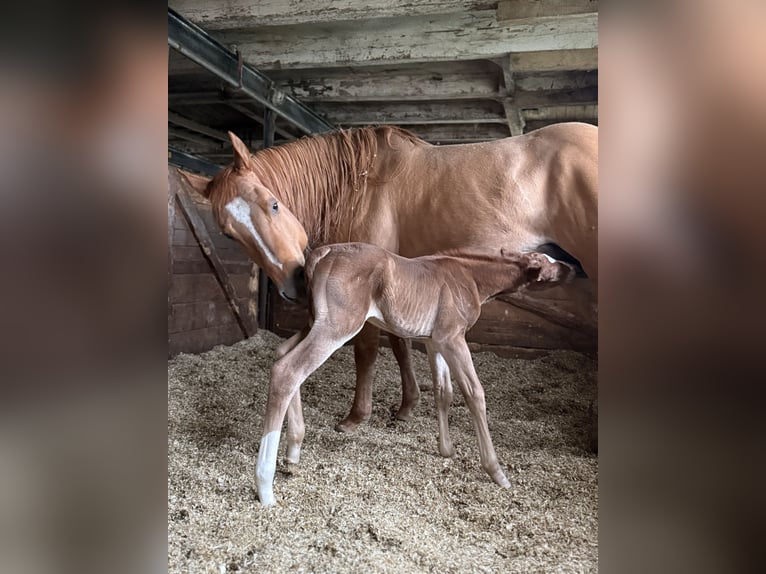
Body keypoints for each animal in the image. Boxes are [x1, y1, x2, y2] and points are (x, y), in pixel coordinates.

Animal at [180, 124, 598, 432]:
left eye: (273, 205)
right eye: (229, 234)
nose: (294, 283)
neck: (357, 185)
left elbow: (366, 350)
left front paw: (355, 417)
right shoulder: (400, 281)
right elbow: (400, 344)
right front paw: (407, 406)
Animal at [254, 243, 577, 506]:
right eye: (548, 263)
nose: (572, 268)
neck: (470, 277)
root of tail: (324, 253)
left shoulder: (434, 341)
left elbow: (444, 392)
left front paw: (446, 449)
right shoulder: (453, 338)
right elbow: (474, 393)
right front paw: (496, 471)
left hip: (315, 322)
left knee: (283, 354)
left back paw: (293, 450)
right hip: (337, 327)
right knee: (288, 371)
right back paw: (265, 486)